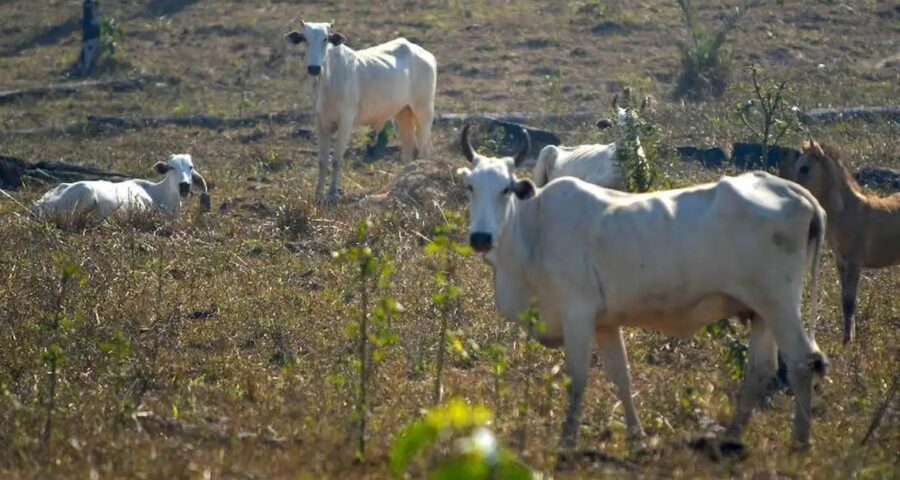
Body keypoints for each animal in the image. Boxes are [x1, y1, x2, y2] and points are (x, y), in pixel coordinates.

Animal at [282, 21, 436, 202]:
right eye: (305, 39)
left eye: (325, 39)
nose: (314, 68)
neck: (328, 79)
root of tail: (425, 54)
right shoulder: (319, 120)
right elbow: (322, 160)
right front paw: (318, 193)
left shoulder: (346, 119)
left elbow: (337, 159)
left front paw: (333, 193)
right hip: (403, 113)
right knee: (408, 153)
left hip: (424, 111)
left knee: (424, 151)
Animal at [458, 124, 828, 450]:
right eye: (471, 187)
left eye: (506, 188)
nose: (481, 237)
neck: (534, 230)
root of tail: (797, 192)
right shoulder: (605, 324)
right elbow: (621, 376)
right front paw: (637, 437)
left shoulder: (577, 313)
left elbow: (577, 378)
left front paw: (567, 441)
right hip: (761, 310)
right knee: (761, 370)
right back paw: (733, 435)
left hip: (780, 303)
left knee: (802, 361)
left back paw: (800, 440)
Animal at [780, 141, 900, 344]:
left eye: (804, 168)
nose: (791, 192)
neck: (848, 211)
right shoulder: (841, 262)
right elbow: (844, 299)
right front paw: (847, 337)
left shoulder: (855, 261)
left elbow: (849, 300)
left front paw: (848, 341)